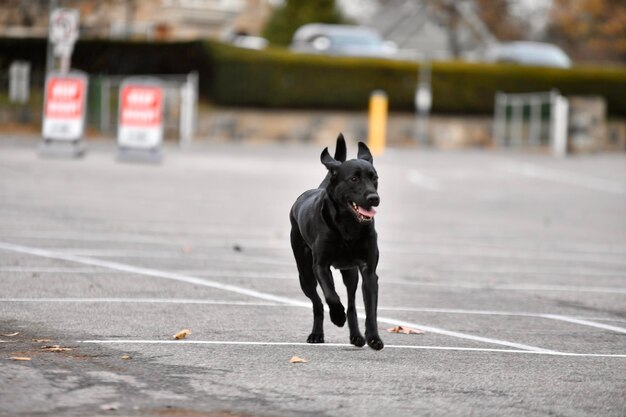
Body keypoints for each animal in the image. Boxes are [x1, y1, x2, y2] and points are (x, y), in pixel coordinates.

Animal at [288, 133, 380, 348]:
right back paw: (317, 334)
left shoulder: (369, 271)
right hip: (305, 275)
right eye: (354, 178)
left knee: (352, 303)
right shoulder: (320, 266)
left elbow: (370, 308)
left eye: (374, 178)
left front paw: (373, 337)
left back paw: (356, 336)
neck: (349, 226)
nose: (374, 198)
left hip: (350, 273)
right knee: (317, 303)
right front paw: (337, 316)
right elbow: (331, 295)